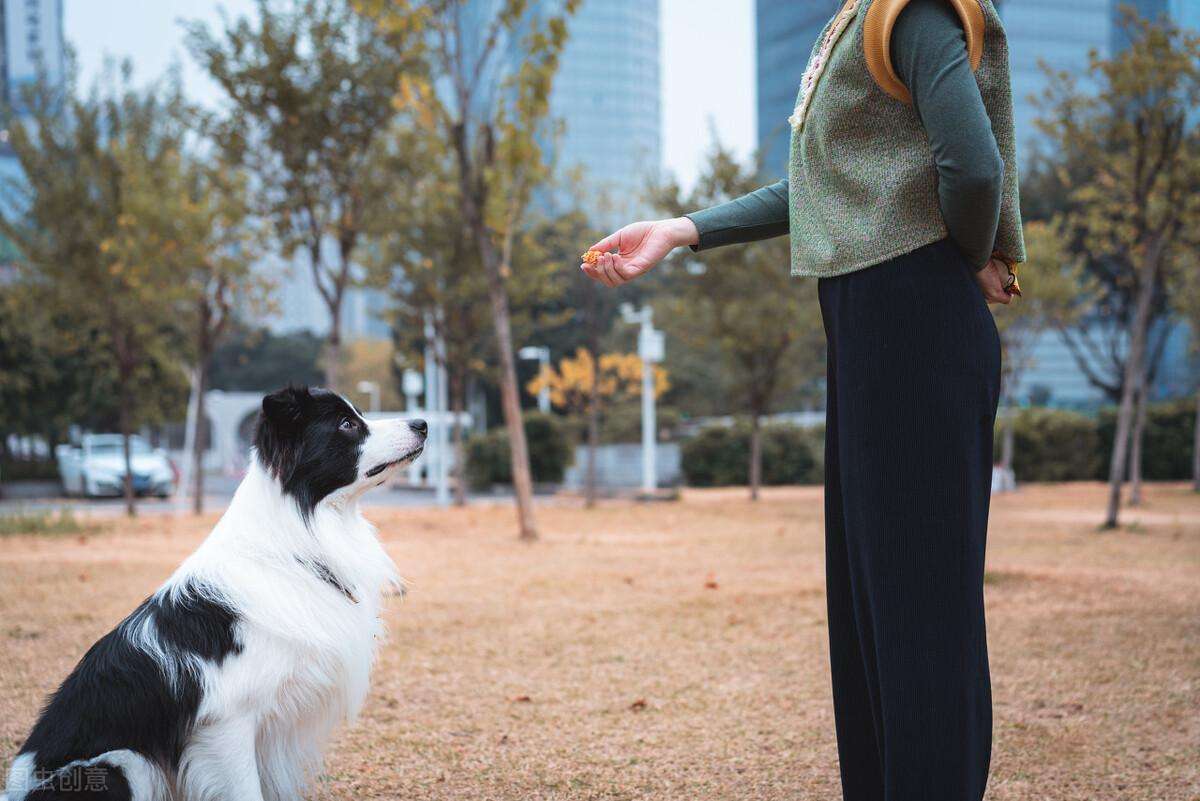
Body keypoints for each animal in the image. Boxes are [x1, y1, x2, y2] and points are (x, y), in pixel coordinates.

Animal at [3, 388, 427, 801]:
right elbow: (246, 791)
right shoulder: (227, 723)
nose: (422, 423)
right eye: (346, 424)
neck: (297, 540)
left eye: (359, 414)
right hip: (120, 764)